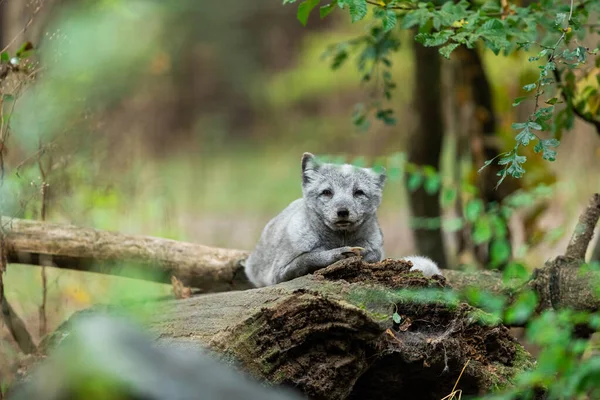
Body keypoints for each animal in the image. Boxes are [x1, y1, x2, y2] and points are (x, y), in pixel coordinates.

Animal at [245, 153, 446, 288]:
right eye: (327, 192)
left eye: (358, 192)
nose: (342, 211)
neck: (341, 239)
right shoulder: (278, 274)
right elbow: (308, 257)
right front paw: (338, 255)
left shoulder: (378, 250)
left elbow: (373, 254)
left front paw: (361, 255)